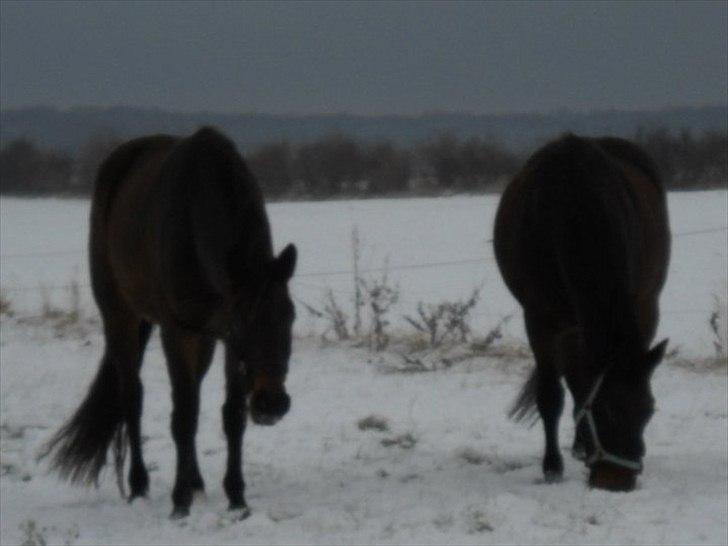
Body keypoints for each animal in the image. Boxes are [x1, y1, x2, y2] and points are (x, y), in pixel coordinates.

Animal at [38, 125, 296, 516]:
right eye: (242, 324)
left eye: (290, 318)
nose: (272, 405)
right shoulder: (180, 333)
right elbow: (183, 416)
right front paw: (179, 503)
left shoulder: (221, 340)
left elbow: (231, 415)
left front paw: (236, 498)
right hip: (120, 317)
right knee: (133, 397)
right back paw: (139, 485)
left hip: (202, 338)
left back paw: (197, 482)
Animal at [494, 134, 672, 490]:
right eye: (607, 411)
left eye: (649, 410)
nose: (617, 483)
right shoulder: (540, 318)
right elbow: (551, 394)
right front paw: (551, 468)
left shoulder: (639, 305)